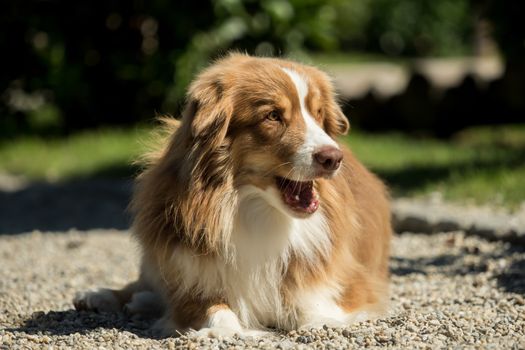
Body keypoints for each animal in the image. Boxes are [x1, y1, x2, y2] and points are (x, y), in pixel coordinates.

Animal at [73, 52, 388, 336]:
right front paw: (221, 330)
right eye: (273, 116)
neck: (259, 212)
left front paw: (321, 322)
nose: (333, 158)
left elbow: (316, 301)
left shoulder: (346, 276)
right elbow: (210, 307)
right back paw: (99, 295)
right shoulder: (190, 273)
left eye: (319, 114)